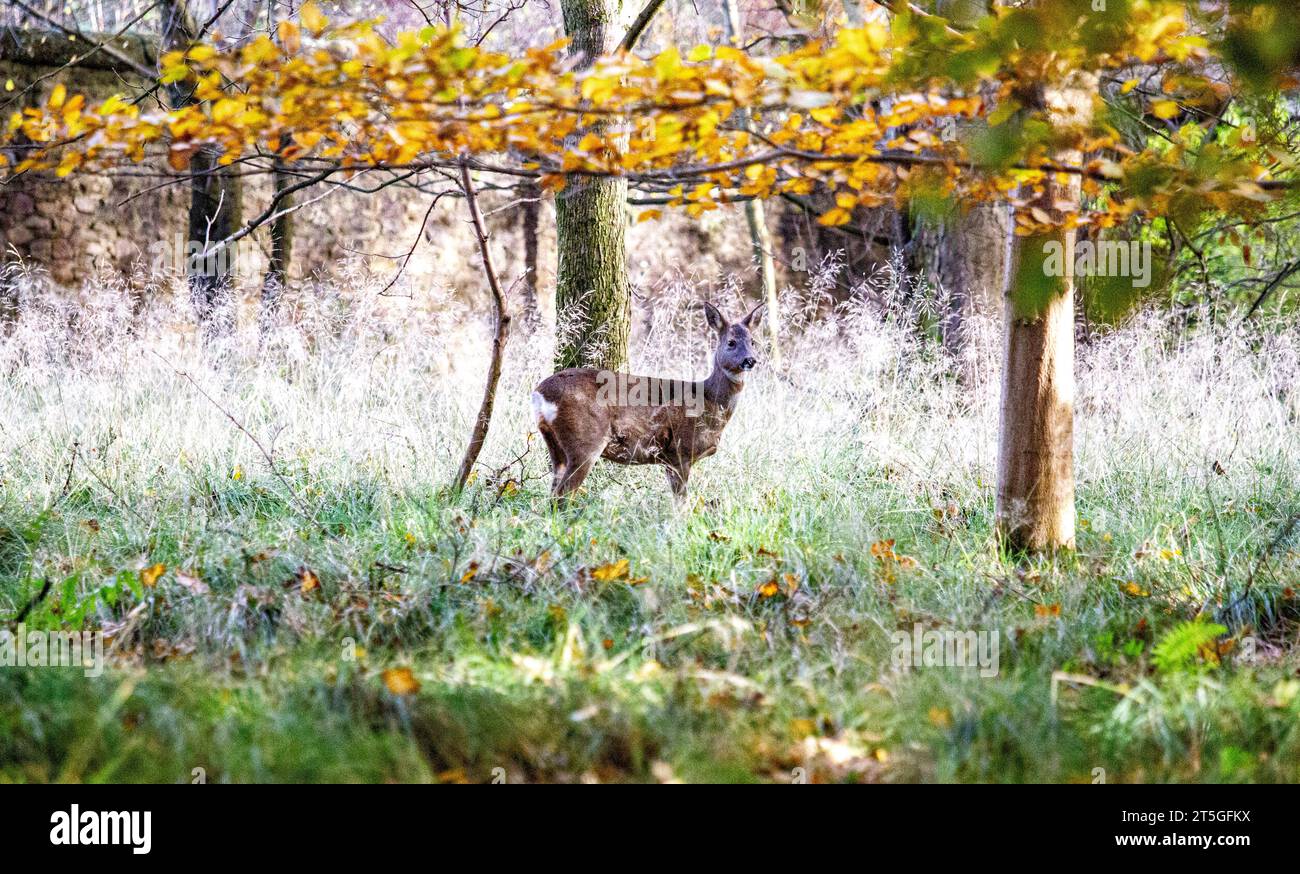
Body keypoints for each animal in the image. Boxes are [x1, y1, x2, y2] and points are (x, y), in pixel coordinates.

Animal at [533, 301, 764, 499]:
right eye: (731, 342)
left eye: (753, 342)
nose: (750, 360)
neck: (708, 401)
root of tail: (539, 393)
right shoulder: (679, 451)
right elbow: (681, 503)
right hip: (585, 440)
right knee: (562, 494)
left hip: (555, 445)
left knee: (553, 492)